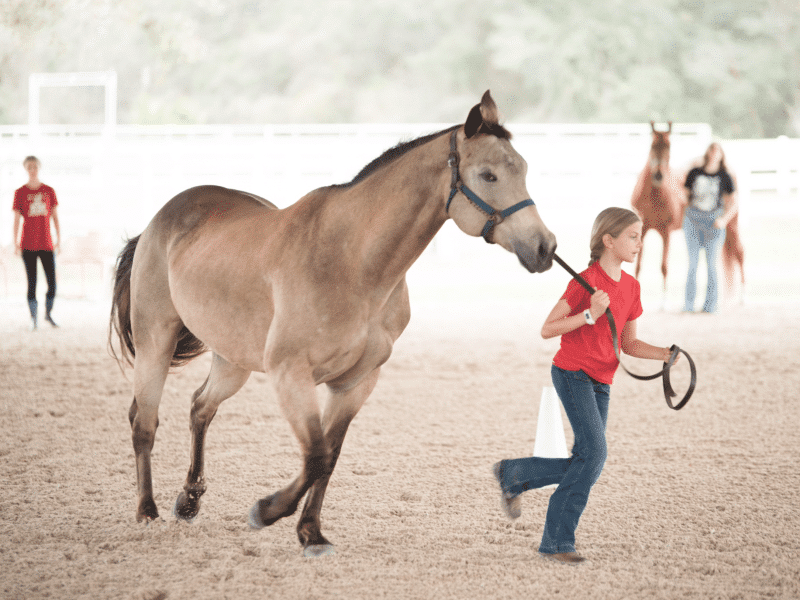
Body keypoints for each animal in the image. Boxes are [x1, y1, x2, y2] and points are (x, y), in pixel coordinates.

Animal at [108, 91, 557, 557]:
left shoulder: (355, 382)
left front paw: (311, 533)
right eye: (488, 175)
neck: (353, 260)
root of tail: (160, 219)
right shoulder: (291, 373)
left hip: (233, 360)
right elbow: (317, 455)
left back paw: (189, 500)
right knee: (144, 422)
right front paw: (266, 511)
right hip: (155, 341)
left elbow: (329, 456)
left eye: (522, 169)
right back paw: (147, 510)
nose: (544, 247)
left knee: (200, 408)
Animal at [630, 121, 686, 303]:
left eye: (669, 145)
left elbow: (664, 267)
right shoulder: (641, 230)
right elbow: (638, 266)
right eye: (652, 145)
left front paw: (663, 304)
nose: (659, 175)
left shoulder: (666, 231)